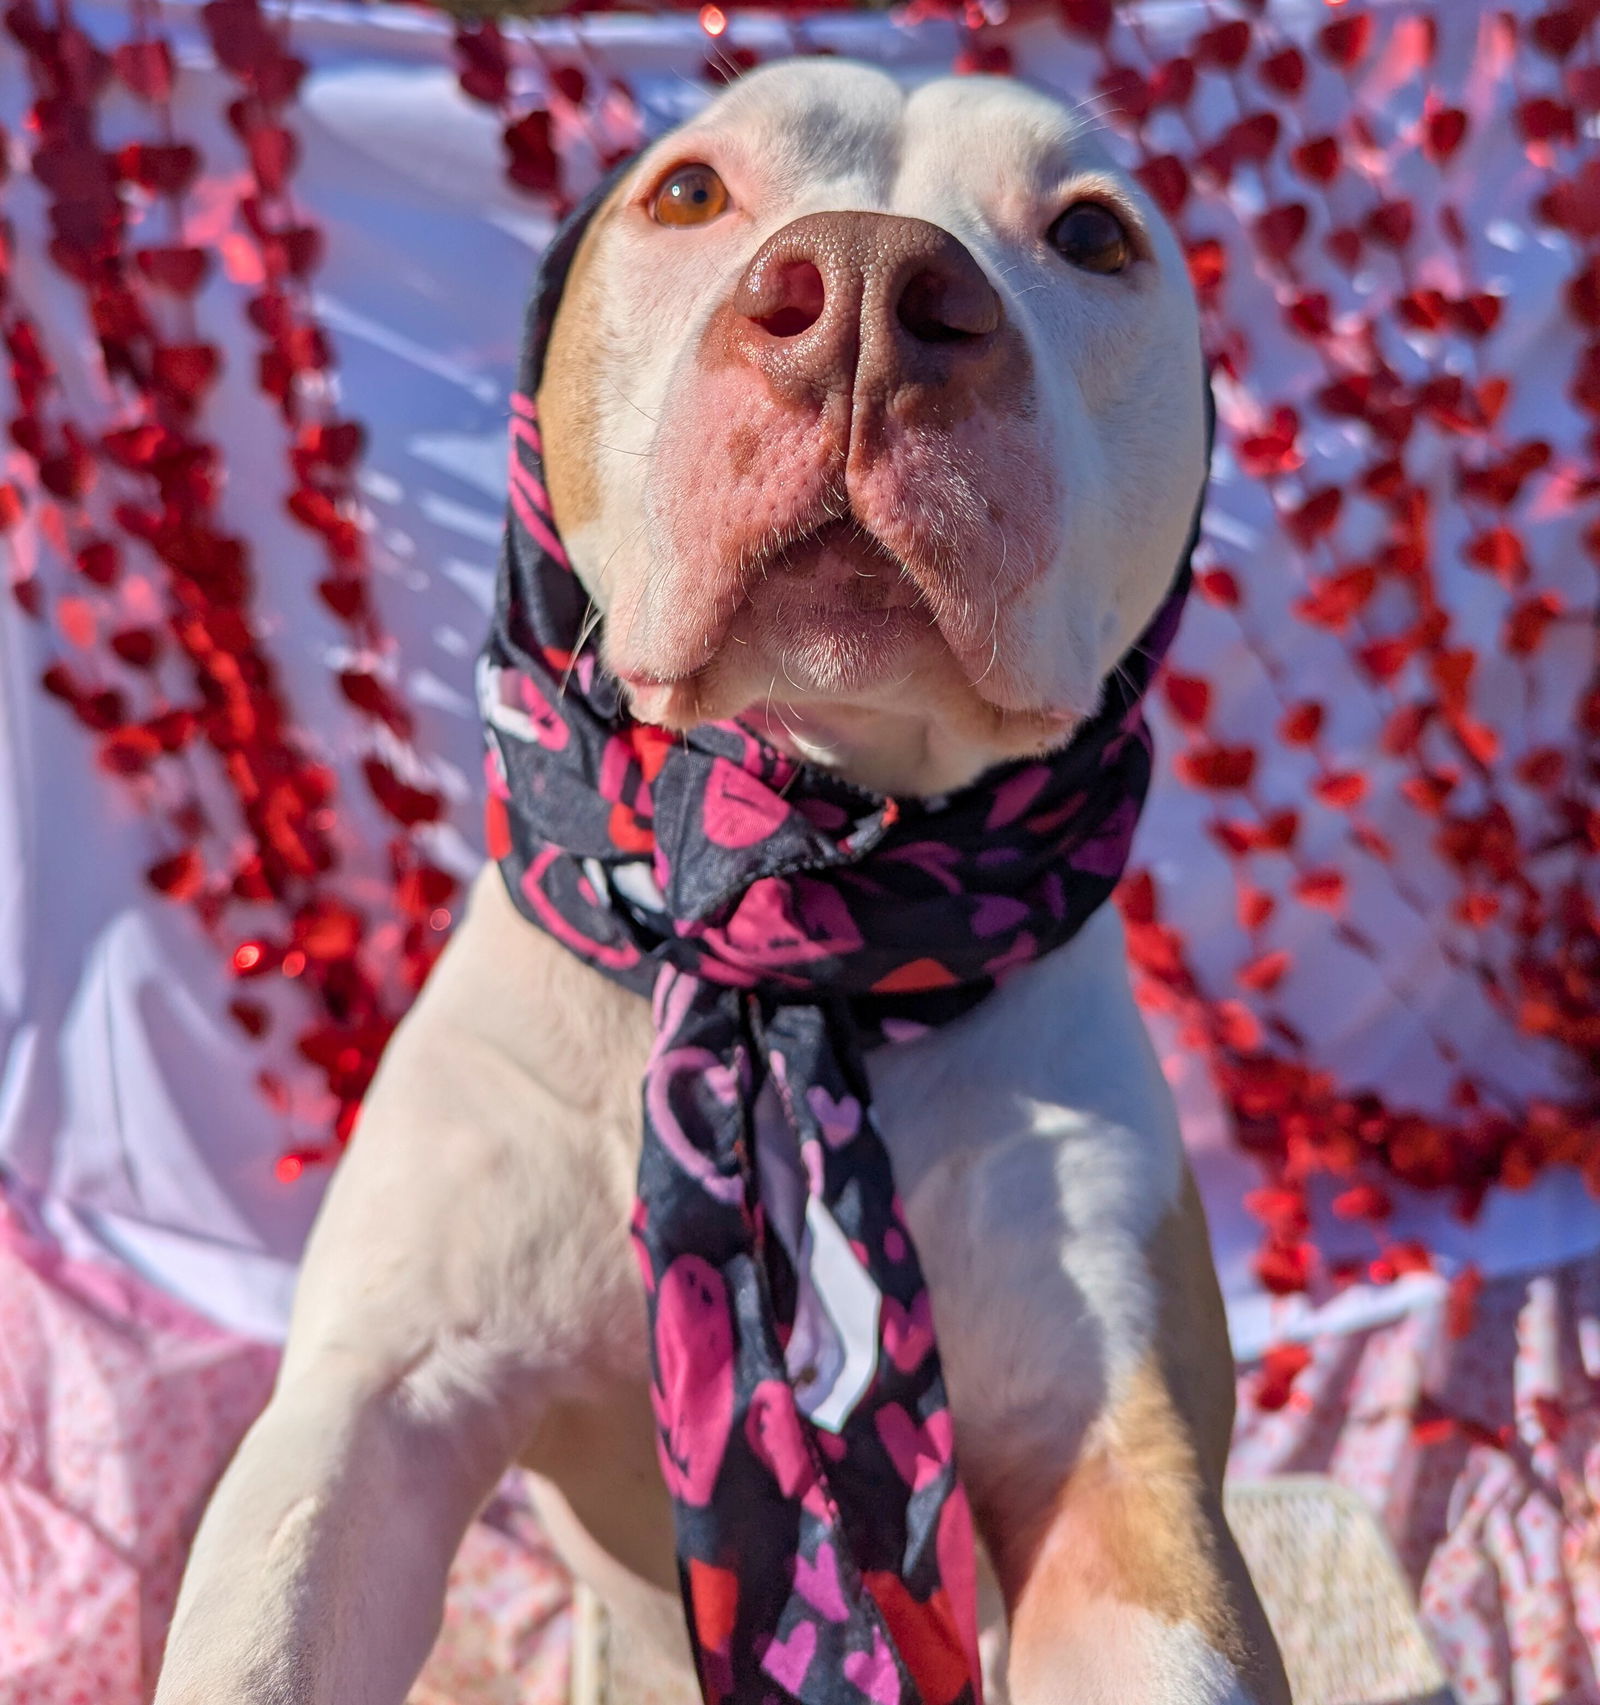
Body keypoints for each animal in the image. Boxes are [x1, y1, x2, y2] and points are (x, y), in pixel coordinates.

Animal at [156, 60, 1289, 1698]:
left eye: (1092, 235)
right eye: (689, 192)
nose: (872, 289)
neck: (782, 928)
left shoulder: (1114, 1464)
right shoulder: (377, 1395)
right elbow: (265, 1628)